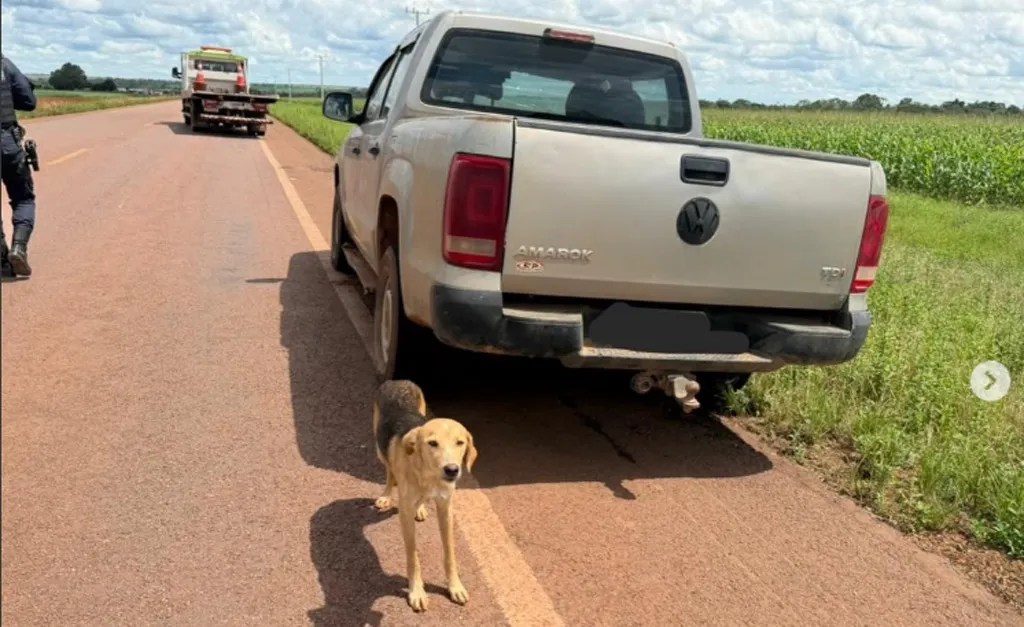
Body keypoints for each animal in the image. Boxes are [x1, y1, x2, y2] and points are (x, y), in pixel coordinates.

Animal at [372, 379, 478, 612]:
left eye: (460, 443)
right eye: (432, 443)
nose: (452, 470)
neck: (428, 475)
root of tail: (397, 381)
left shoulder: (445, 508)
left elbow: (450, 553)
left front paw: (455, 586)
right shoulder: (404, 516)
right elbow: (413, 556)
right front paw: (417, 591)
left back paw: (420, 508)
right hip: (379, 448)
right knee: (389, 471)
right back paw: (386, 495)